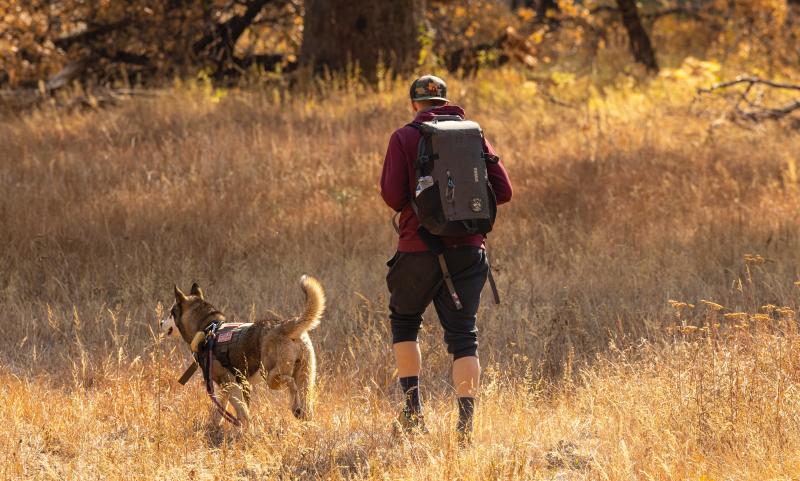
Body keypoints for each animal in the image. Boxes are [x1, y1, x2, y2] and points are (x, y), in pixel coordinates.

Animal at [161, 276, 324, 430]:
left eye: (170, 313)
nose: (161, 323)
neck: (207, 328)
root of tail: (284, 325)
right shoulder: (227, 388)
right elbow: (219, 412)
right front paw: (214, 428)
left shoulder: (230, 383)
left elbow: (242, 413)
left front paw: (246, 431)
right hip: (305, 378)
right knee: (306, 403)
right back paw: (306, 421)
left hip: (271, 375)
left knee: (290, 383)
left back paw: (295, 408)